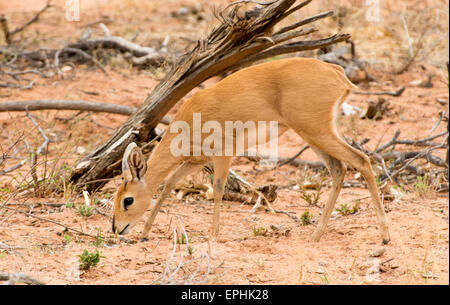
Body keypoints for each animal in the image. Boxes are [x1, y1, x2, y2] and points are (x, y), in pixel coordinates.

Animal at [111, 56, 390, 242]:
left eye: (128, 200)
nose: (116, 228)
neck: (191, 118)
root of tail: (335, 71)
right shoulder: (195, 161)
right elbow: (169, 184)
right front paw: (145, 233)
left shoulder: (224, 154)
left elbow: (218, 188)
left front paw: (214, 235)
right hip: (313, 135)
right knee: (339, 169)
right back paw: (316, 235)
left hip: (318, 132)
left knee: (361, 160)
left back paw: (384, 237)